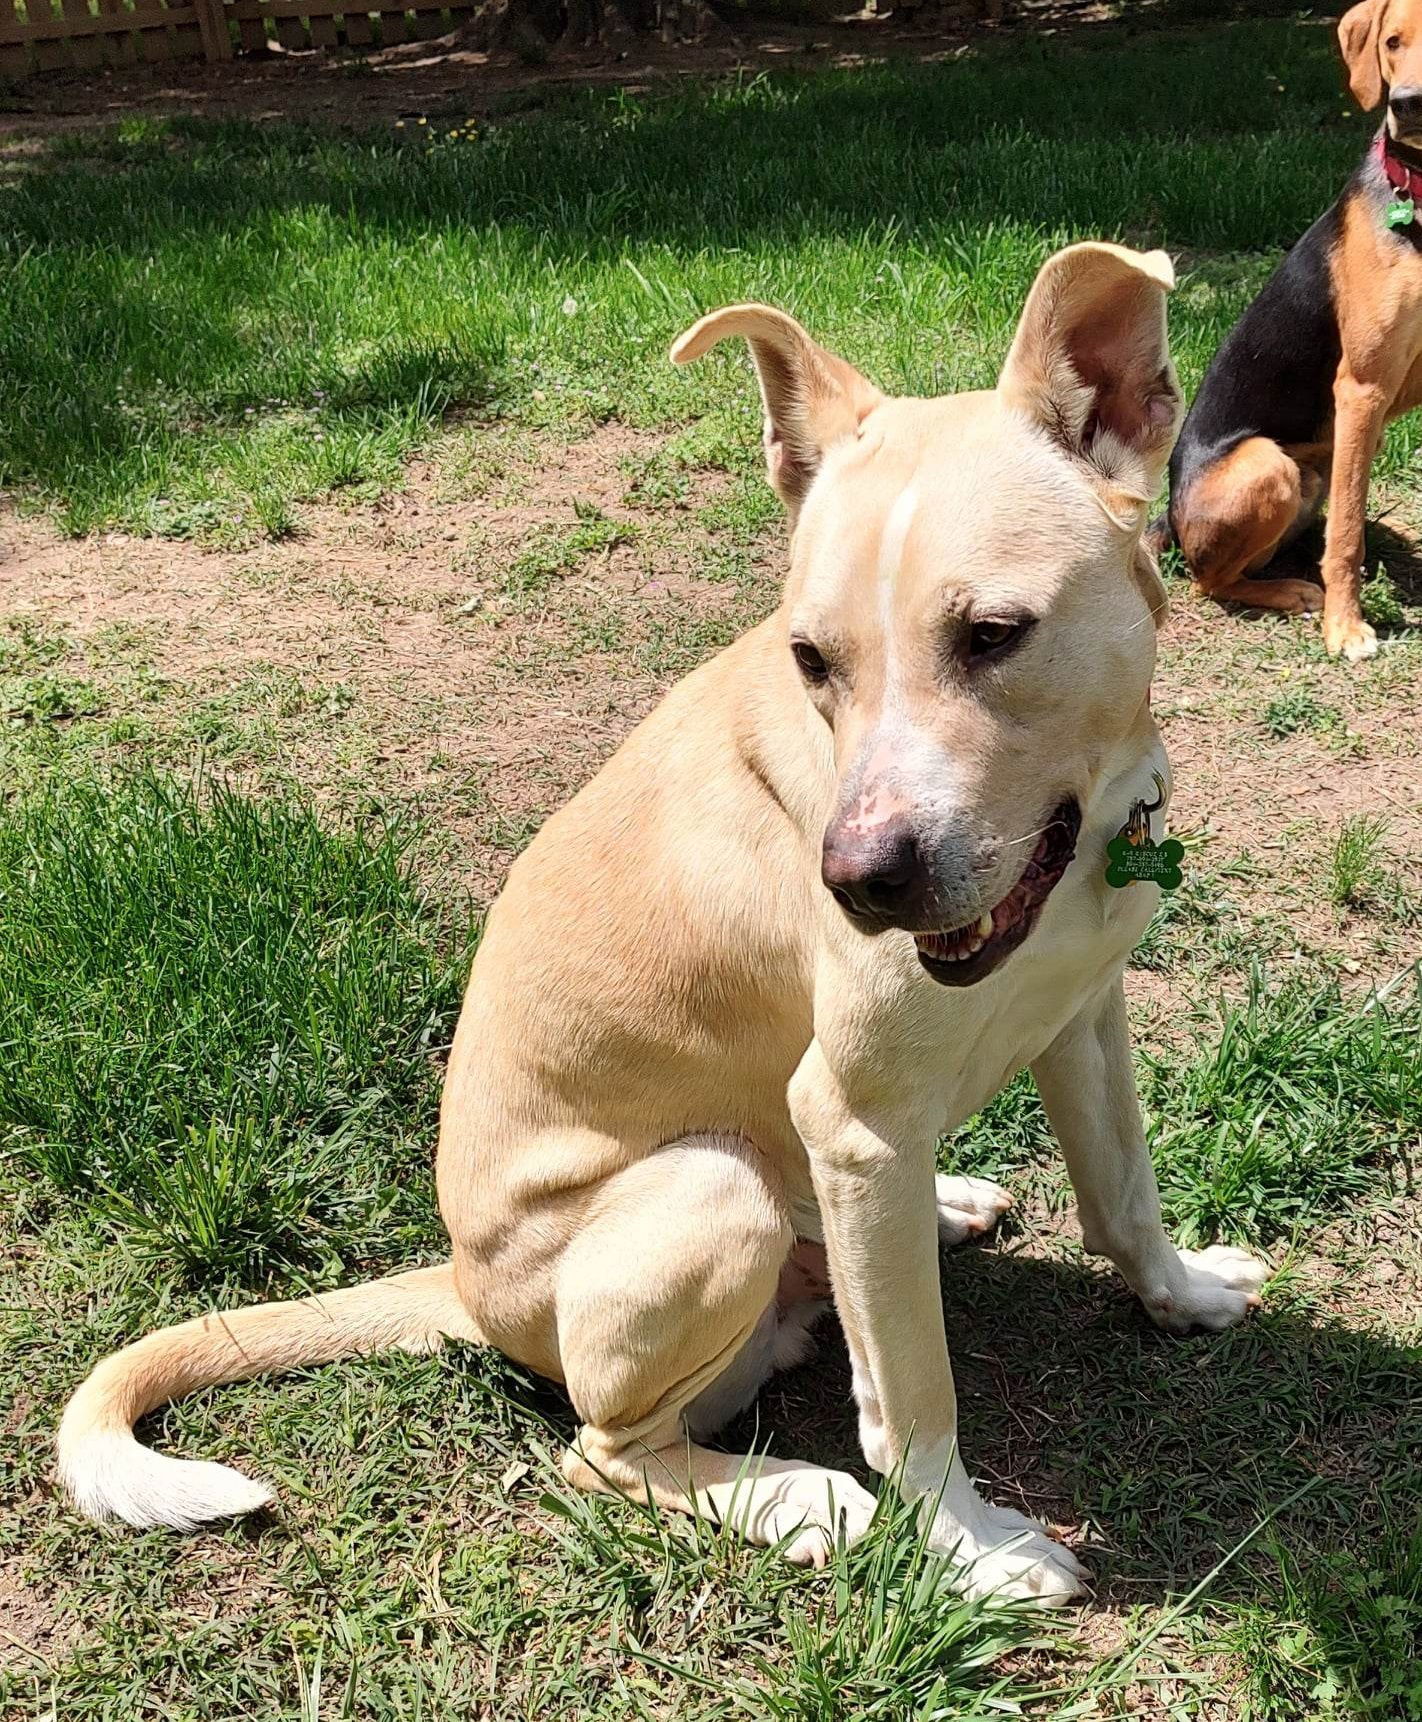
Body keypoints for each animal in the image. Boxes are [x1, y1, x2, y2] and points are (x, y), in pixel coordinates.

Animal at [55, 242, 1260, 1598]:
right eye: (811, 658)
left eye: (994, 635)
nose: (858, 884)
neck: (1082, 845)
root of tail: (463, 1285)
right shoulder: (850, 1118)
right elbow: (912, 1398)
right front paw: (968, 1545)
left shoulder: (1083, 1014)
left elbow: (1123, 1193)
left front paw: (1182, 1291)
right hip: (713, 1188)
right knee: (608, 1451)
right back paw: (795, 1499)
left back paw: (943, 1209)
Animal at [1149, 0, 1418, 657]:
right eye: (1392, 42)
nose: (1408, 103)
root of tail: (1169, 517)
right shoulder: (1363, 387)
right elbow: (1345, 538)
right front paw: (1346, 628)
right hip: (1267, 466)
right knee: (1212, 580)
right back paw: (1293, 591)